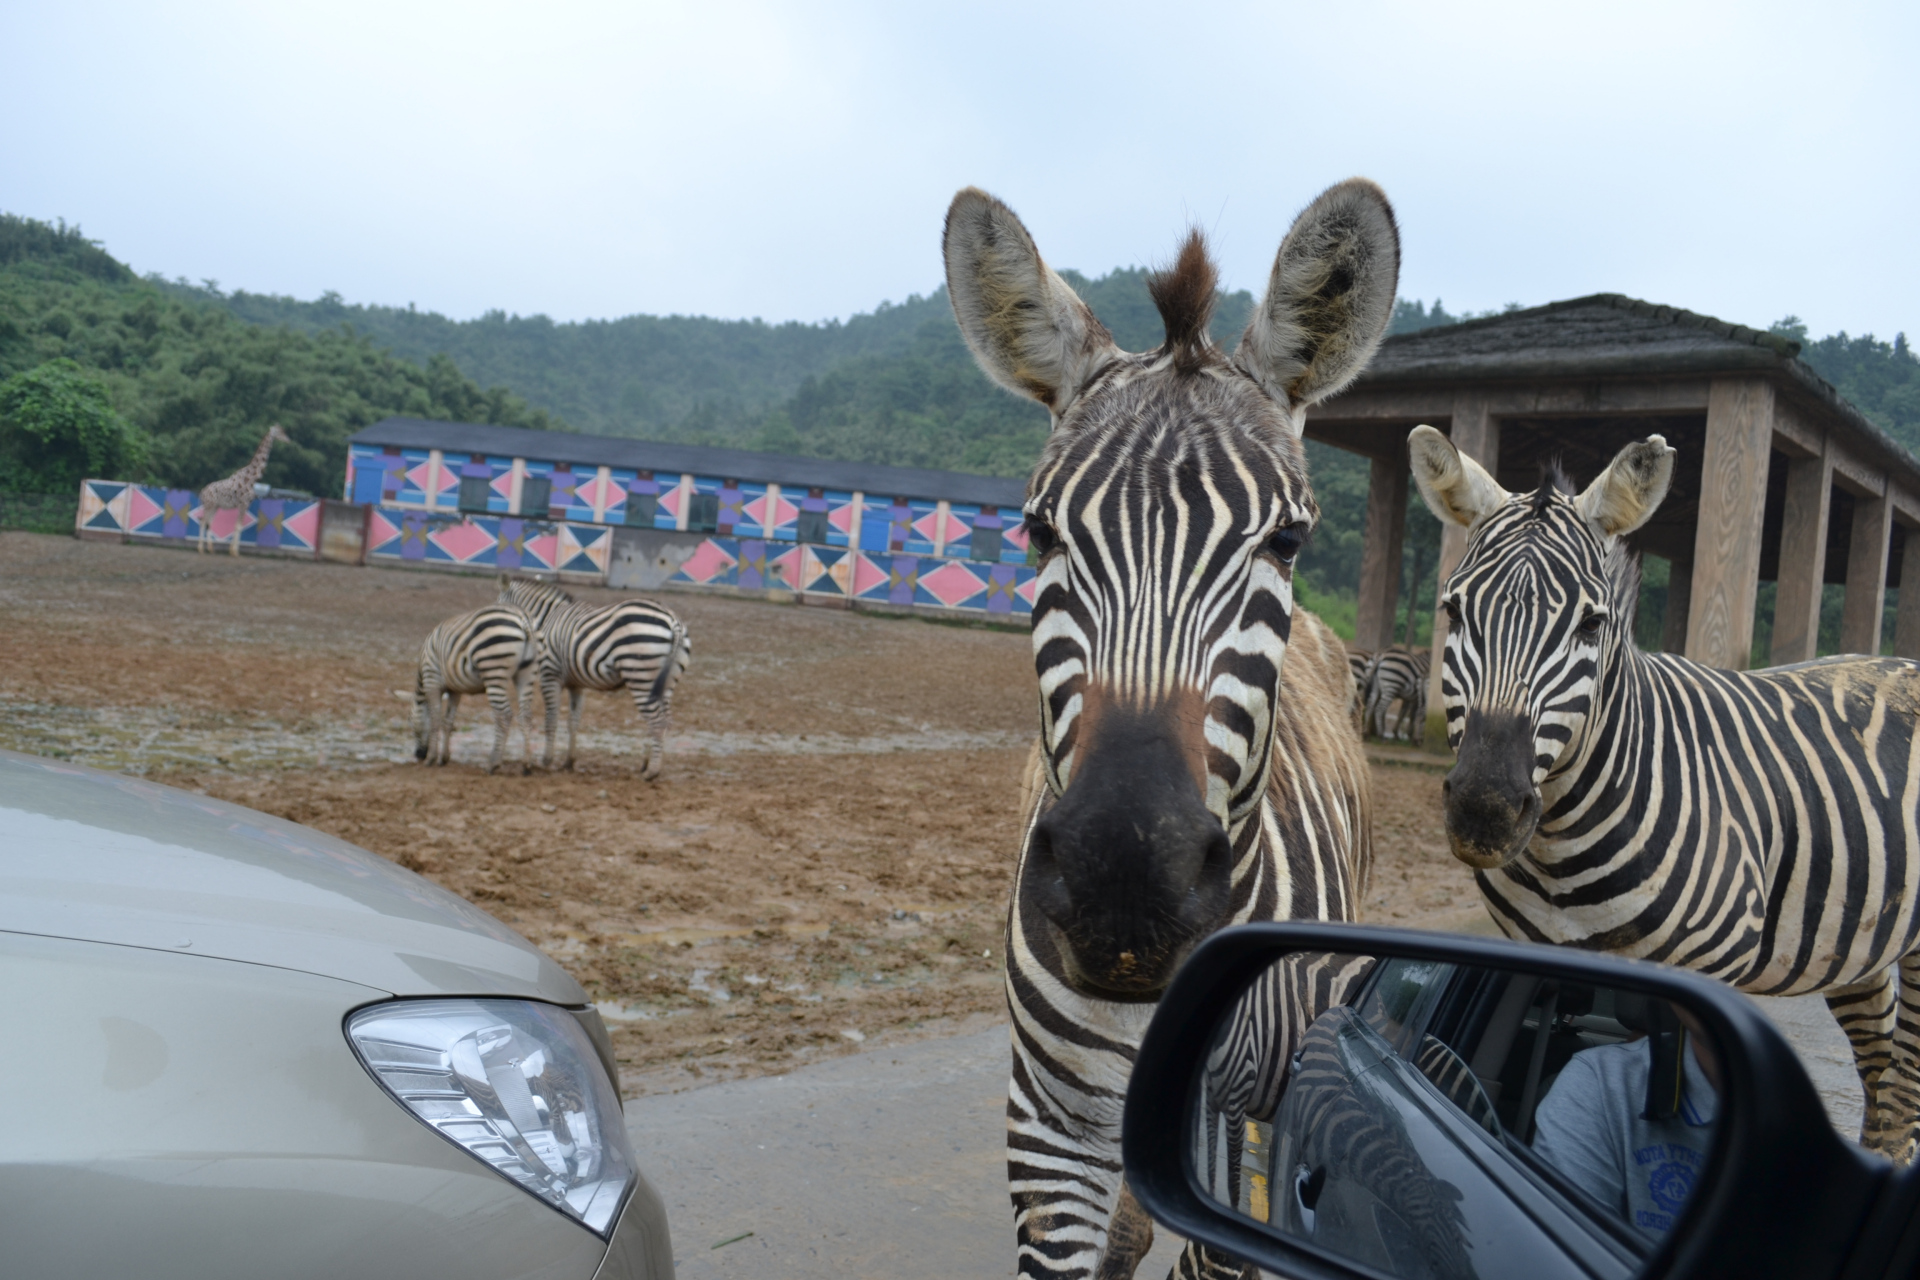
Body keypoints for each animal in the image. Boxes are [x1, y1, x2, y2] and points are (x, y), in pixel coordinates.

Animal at [197, 426, 289, 556]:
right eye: (280, 432)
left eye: (283, 431)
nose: (288, 440)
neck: (251, 478)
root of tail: (202, 492)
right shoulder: (243, 504)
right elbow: (238, 526)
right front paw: (235, 552)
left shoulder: (245, 505)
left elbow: (237, 526)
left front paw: (233, 550)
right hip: (209, 505)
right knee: (203, 522)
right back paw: (201, 549)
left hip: (215, 506)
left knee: (208, 522)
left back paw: (210, 549)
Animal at [410, 610, 541, 775]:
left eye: (412, 727)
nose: (419, 755)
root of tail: (523, 620)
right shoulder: (455, 690)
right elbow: (448, 722)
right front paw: (444, 758)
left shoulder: (432, 681)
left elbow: (435, 720)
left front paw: (431, 758)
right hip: (527, 673)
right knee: (526, 715)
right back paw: (526, 765)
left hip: (493, 670)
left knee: (504, 714)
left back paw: (493, 764)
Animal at [499, 579, 695, 782]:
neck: (546, 619)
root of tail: (673, 621)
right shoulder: (576, 683)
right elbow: (573, 721)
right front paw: (569, 762)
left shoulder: (549, 673)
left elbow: (551, 718)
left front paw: (546, 760)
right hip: (666, 682)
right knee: (665, 721)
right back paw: (648, 765)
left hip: (640, 676)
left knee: (657, 722)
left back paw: (651, 772)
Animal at [1405, 426, 1920, 1166]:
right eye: (1453, 610)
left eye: (1591, 624)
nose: (1485, 810)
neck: (1563, 849)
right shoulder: (1524, 948)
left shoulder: (1712, 968)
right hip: (1861, 933)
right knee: (1881, 1075)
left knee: (1903, 1086)